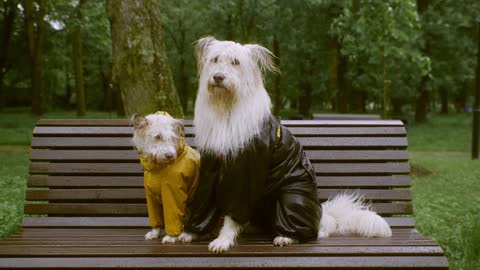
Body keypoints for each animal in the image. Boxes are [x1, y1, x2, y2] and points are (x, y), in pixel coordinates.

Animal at [130, 112, 200, 245]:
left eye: (172, 137)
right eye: (157, 136)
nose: (170, 155)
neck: (159, 168)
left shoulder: (172, 195)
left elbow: (172, 216)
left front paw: (171, 237)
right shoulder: (151, 196)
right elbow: (155, 218)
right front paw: (155, 233)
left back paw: (187, 235)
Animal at [178, 36, 392, 253]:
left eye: (235, 62)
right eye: (215, 59)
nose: (218, 77)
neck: (227, 108)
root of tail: (321, 215)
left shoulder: (244, 177)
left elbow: (233, 214)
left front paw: (223, 239)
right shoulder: (210, 169)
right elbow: (203, 205)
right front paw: (190, 233)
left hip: (293, 199)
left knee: (314, 232)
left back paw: (287, 236)